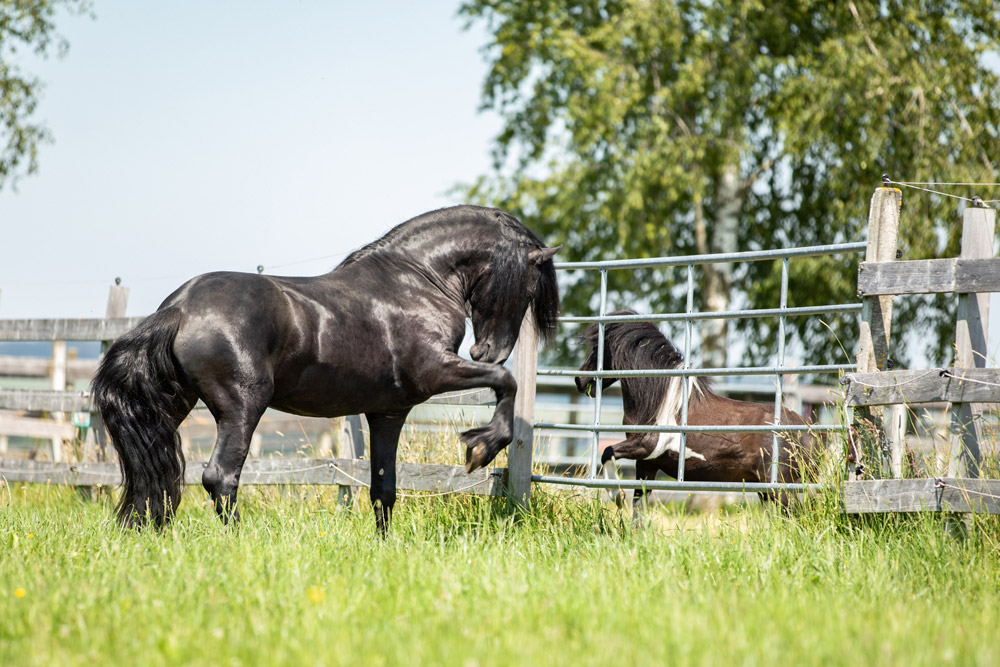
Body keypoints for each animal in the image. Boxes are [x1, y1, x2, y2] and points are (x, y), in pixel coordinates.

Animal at [91, 205, 559, 534]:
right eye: (529, 287)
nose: (489, 351)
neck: (415, 283)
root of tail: (181, 306)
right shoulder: (434, 371)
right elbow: (507, 383)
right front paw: (482, 448)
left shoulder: (388, 412)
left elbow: (384, 489)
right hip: (242, 408)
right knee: (220, 478)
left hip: (175, 405)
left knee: (155, 473)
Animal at [574, 310, 818, 509]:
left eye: (598, 348)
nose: (579, 380)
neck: (661, 404)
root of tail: (809, 433)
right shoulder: (647, 463)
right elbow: (638, 508)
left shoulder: (645, 447)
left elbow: (607, 452)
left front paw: (616, 496)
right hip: (765, 489)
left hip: (780, 488)